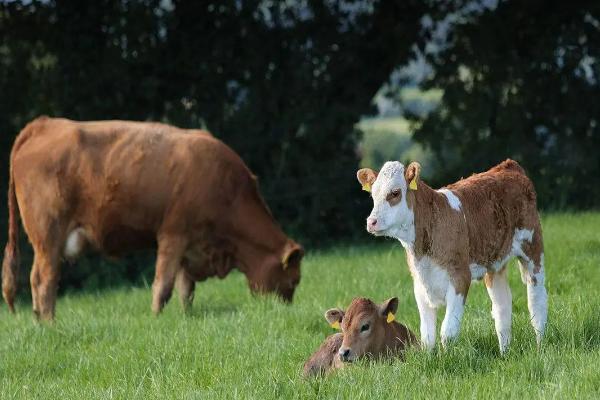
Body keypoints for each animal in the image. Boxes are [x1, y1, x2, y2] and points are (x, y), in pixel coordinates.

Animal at [2, 115, 304, 318]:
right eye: (294, 281)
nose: (285, 310)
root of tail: (45, 123)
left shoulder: (190, 246)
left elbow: (185, 288)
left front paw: (186, 316)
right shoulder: (173, 235)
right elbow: (164, 286)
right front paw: (157, 317)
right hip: (48, 238)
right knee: (43, 281)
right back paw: (49, 323)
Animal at [356, 159, 548, 354]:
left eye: (395, 193)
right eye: (373, 195)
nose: (371, 222)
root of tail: (509, 166)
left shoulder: (460, 277)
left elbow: (447, 331)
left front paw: (447, 357)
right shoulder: (420, 284)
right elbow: (427, 336)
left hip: (532, 247)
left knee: (537, 300)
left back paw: (540, 346)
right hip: (495, 262)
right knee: (502, 306)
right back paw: (504, 353)